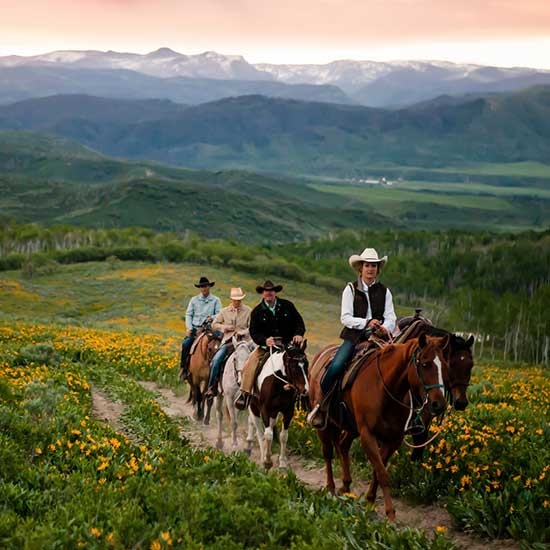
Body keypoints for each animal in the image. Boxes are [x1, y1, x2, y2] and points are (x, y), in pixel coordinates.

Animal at [250, 342, 310, 472]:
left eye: (306, 365)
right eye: (293, 367)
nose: (305, 390)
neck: (280, 385)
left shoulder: (288, 411)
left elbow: (283, 436)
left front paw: (282, 462)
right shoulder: (265, 410)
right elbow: (268, 435)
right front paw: (267, 461)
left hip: (274, 413)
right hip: (254, 408)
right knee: (260, 432)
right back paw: (262, 457)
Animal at [310, 336, 448, 520]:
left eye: (444, 365)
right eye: (425, 364)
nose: (439, 404)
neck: (385, 388)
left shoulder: (393, 440)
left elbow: (378, 469)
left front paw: (370, 501)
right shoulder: (367, 435)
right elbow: (383, 473)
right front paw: (390, 514)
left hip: (351, 427)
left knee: (343, 445)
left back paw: (345, 486)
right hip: (325, 424)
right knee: (327, 453)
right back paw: (331, 489)